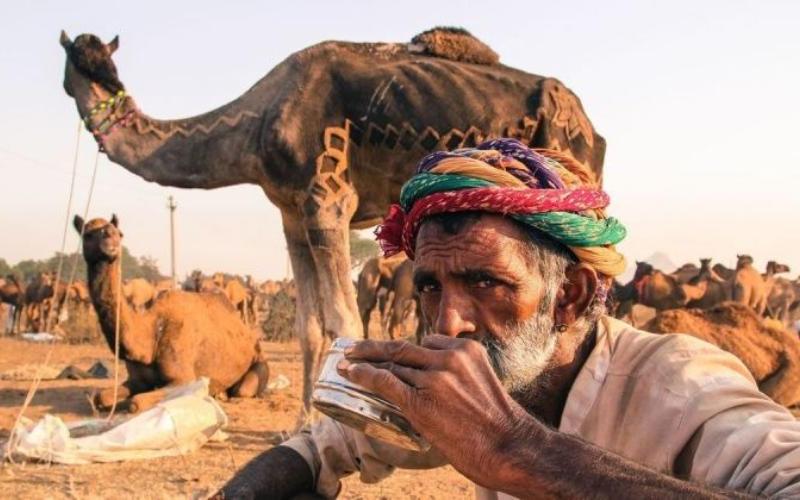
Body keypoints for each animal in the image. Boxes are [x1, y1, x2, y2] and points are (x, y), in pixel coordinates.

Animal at [74, 214, 268, 413]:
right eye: (87, 234)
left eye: (120, 234)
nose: (111, 241)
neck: (151, 334)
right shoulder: (137, 380)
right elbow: (100, 397)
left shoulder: (185, 379)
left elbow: (136, 402)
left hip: (258, 362)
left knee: (243, 390)